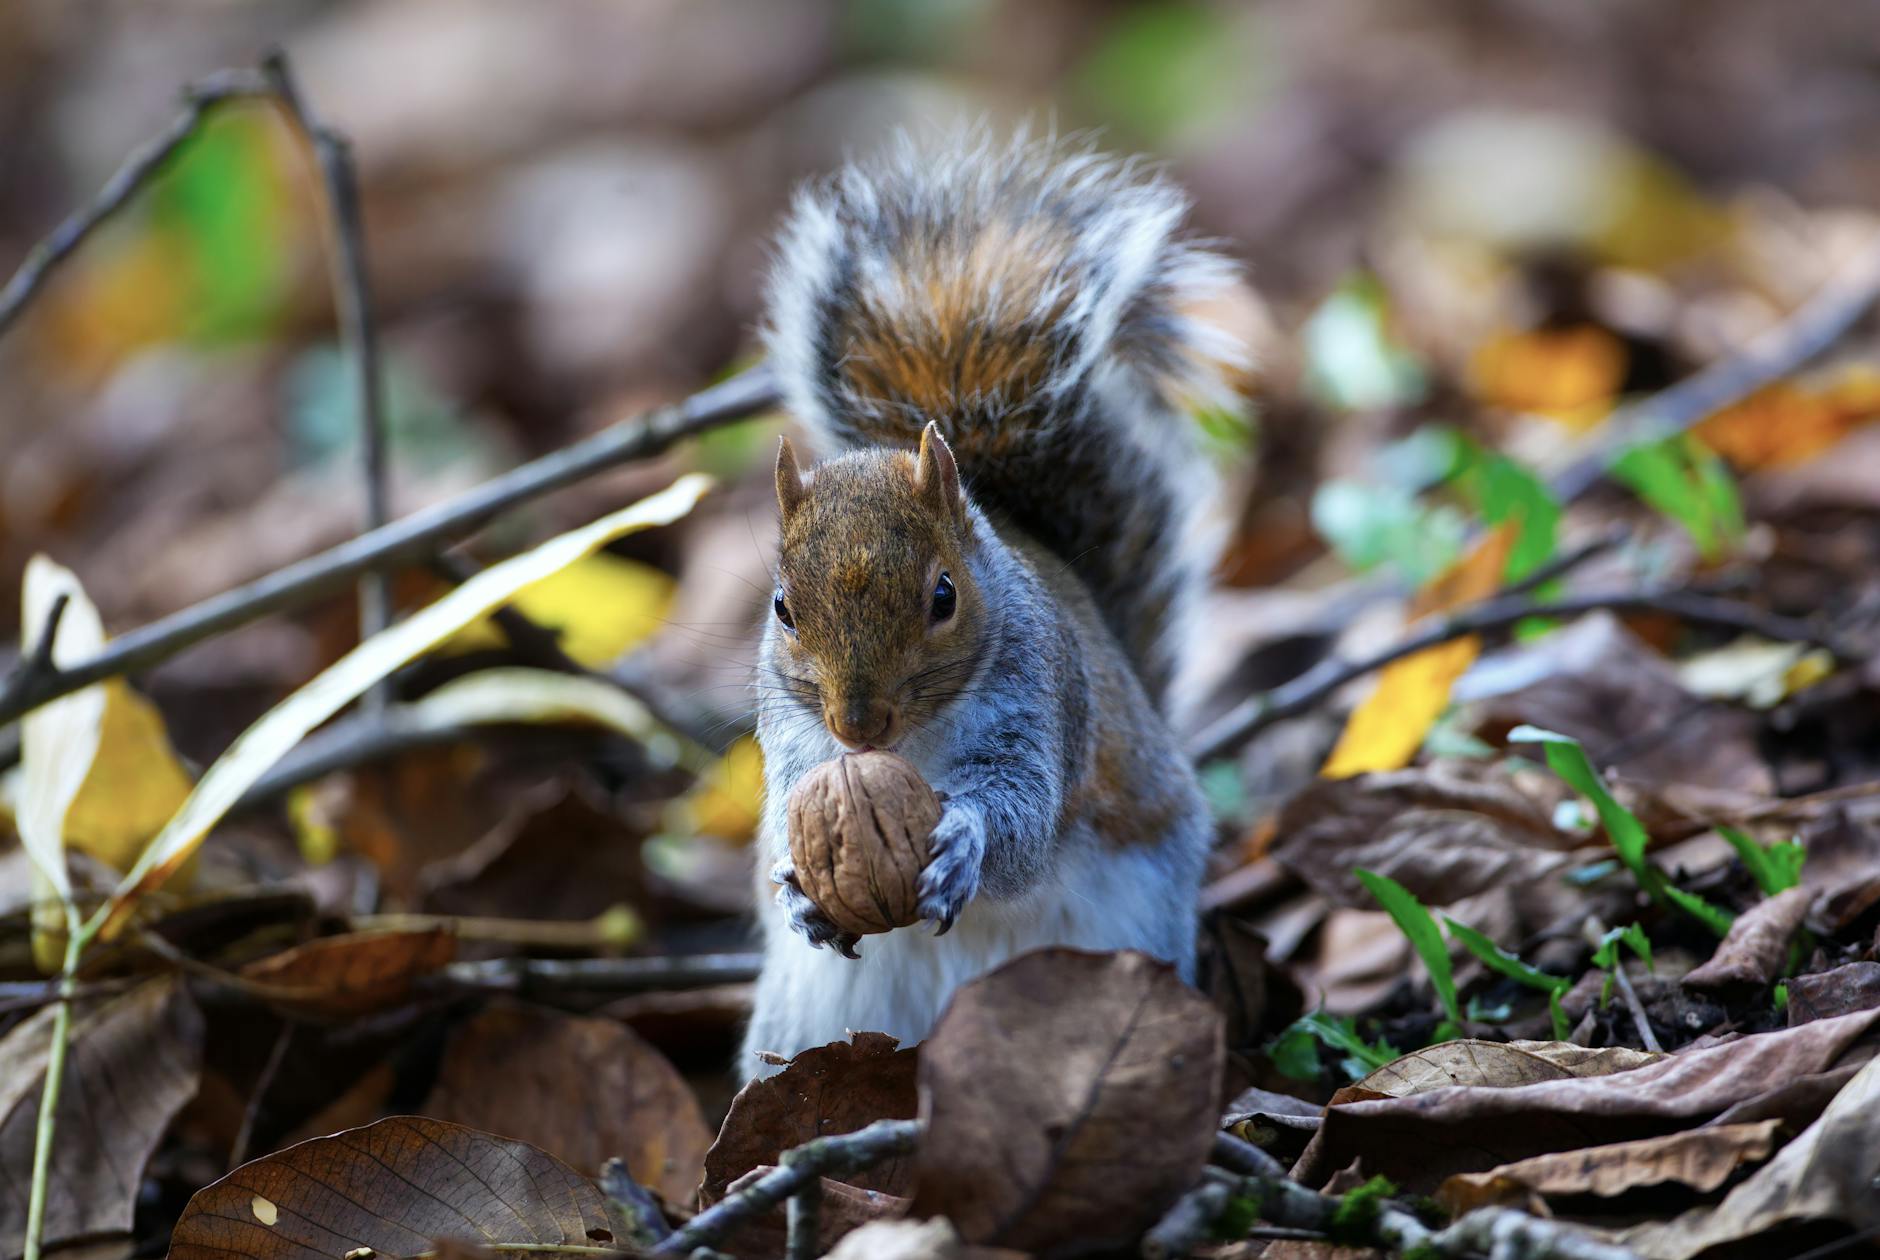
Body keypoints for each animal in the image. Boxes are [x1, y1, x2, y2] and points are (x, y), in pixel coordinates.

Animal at [742, 136, 1241, 1076]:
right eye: (783, 607)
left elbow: (1025, 818)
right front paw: (793, 881)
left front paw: (964, 845)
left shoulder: (1042, 703)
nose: (857, 727)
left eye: (944, 596)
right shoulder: (793, 741)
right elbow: (787, 806)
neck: (909, 748)